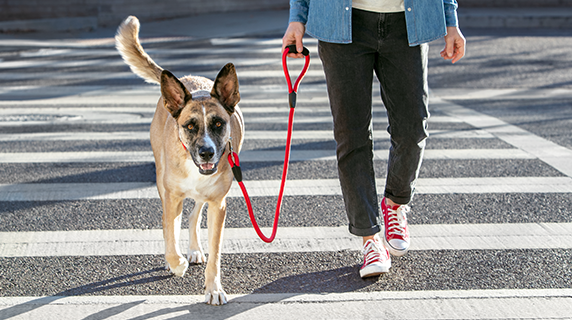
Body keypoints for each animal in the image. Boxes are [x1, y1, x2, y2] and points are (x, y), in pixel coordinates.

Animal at [115, 15, 242, 304]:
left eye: (219, 124)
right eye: (190, 126)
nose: (206, 152)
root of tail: (187, 79)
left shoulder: (218, 204)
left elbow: (215, 253)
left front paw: (213, 288)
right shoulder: (172, 194)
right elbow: (170, 231)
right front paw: (176, 263)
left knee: (194, 213)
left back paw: (193, 250)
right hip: (163, 183)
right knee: (170, 222)